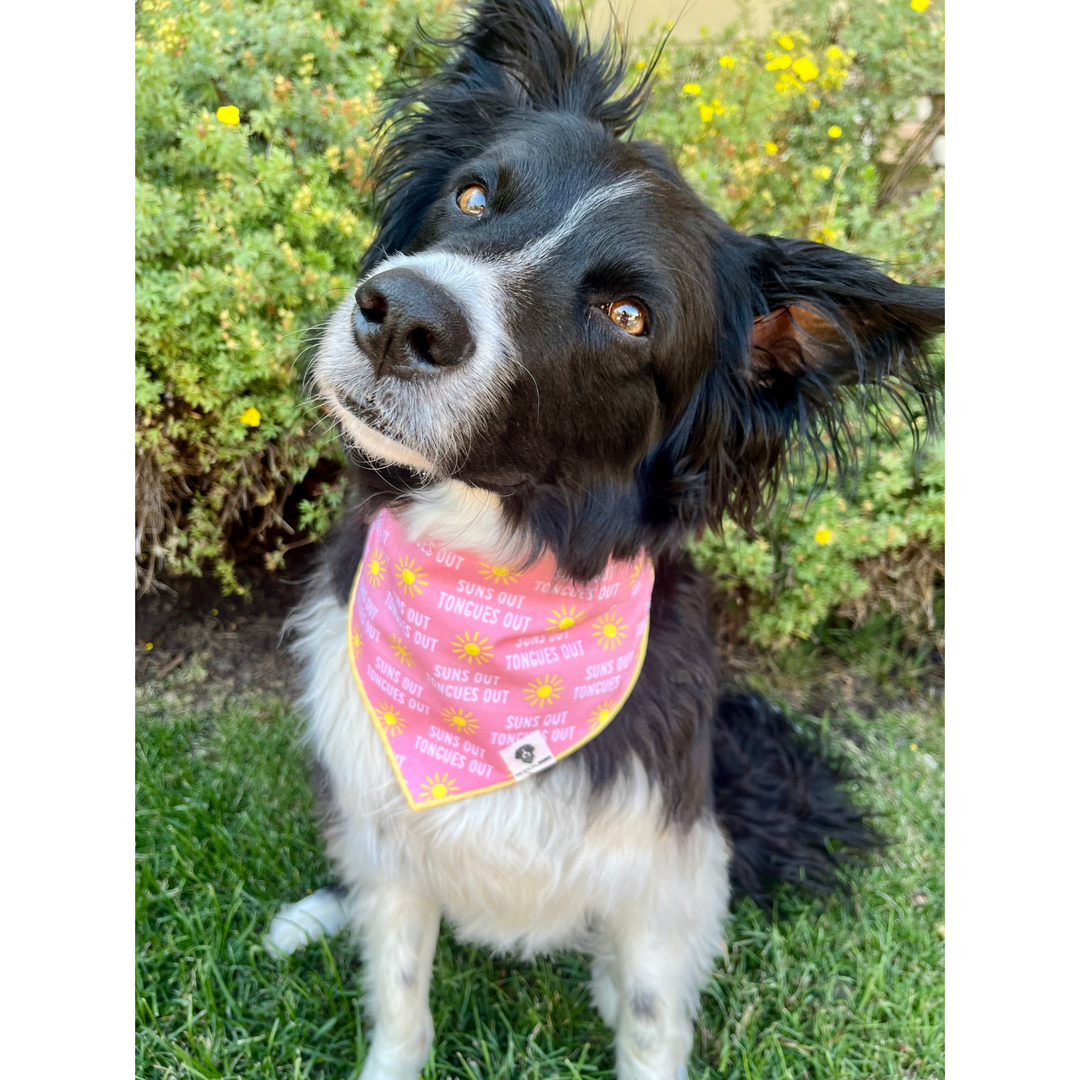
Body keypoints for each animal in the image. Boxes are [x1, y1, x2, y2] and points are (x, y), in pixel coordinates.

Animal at [272, 4, 946, 1075]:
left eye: (628, 315)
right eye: (471, 195)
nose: (400, 314)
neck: (493, 589)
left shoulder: (661, 871)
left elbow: (651, 1016)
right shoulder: (387, 831)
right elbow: (402, 996)